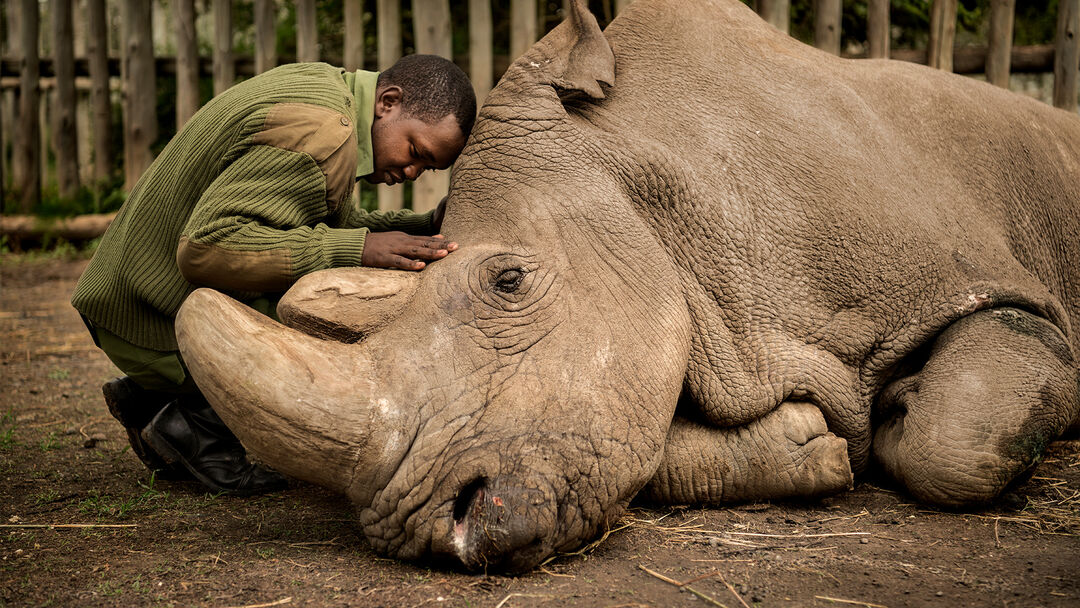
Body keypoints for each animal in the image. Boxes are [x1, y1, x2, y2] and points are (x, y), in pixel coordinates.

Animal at [175, 0, 1080, 572]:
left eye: (509, 281)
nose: (435, 530)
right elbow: (643, 443)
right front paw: (812, 446)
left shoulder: (988, 287)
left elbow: (953, 442)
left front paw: (900, 414)